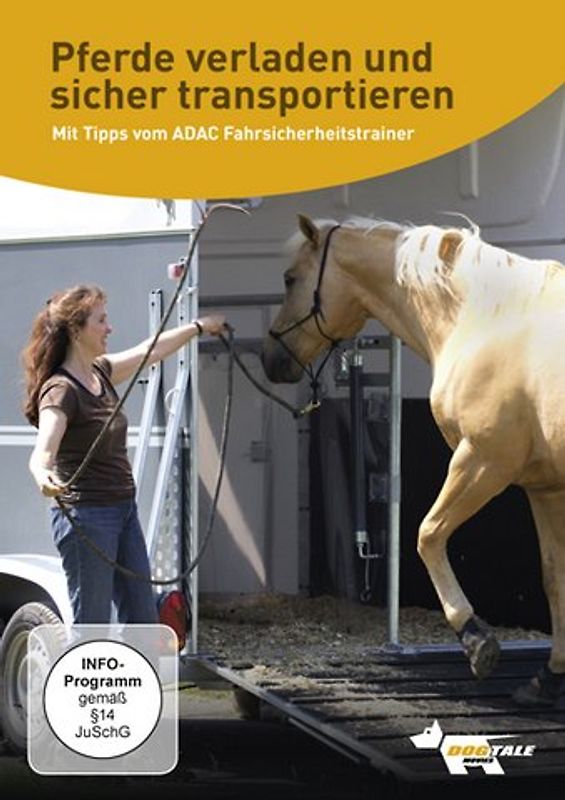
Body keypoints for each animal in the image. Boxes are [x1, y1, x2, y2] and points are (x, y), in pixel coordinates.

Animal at [261, 213, 565, 707]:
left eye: (290, 279)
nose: (270, 358)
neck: (487, 319)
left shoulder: (482, 461)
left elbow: (428, 535)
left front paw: (476, 639)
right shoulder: (544, 487)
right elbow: (555, 576)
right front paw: (548, 678)